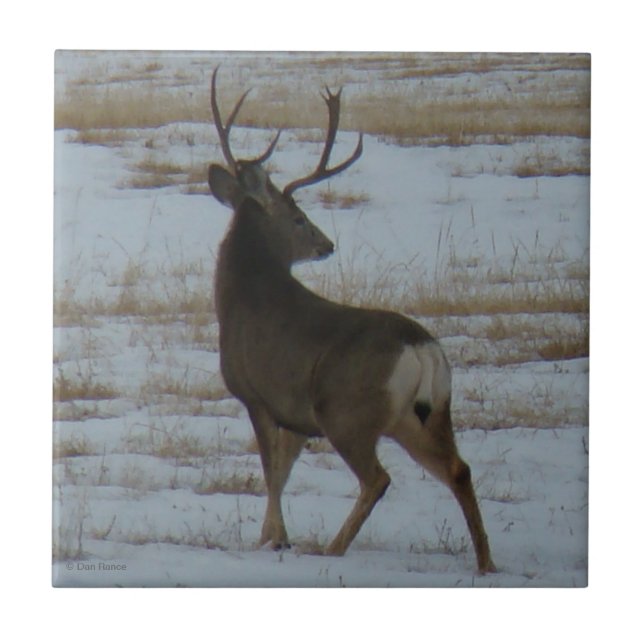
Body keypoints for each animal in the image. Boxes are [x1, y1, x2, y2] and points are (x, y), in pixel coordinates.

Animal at [206, 67, 495, 573]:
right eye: (300, 220)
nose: (326, 244)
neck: (241, 300)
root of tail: (420, 347)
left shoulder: (256, 395)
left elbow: (271, 473)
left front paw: (276, 541)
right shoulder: (294, 415)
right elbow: (281, 472)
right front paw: (272, 538)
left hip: (347, 411)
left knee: (378, 478)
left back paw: (333, 548)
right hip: (424, 414)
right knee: (459, 469)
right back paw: (486, 565)